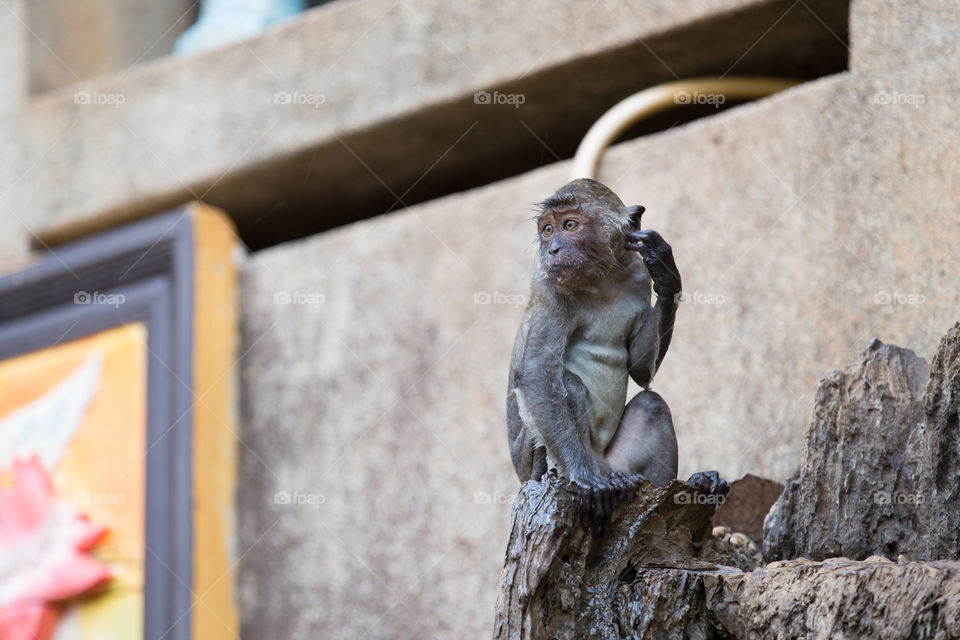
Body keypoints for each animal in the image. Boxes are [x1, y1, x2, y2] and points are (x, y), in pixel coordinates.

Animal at [506, 178, 724, 536]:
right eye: (548, 230)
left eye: (569, 225)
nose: (552, 250)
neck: (601, 280)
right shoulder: (549, 285)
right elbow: (537, 371)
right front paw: (582, 478)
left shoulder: (636, 275)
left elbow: (640, 370)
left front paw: (666, 272)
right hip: (536, 468)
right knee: (568, 384)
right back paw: (590, 476)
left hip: (620, 463)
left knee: (652, 406)